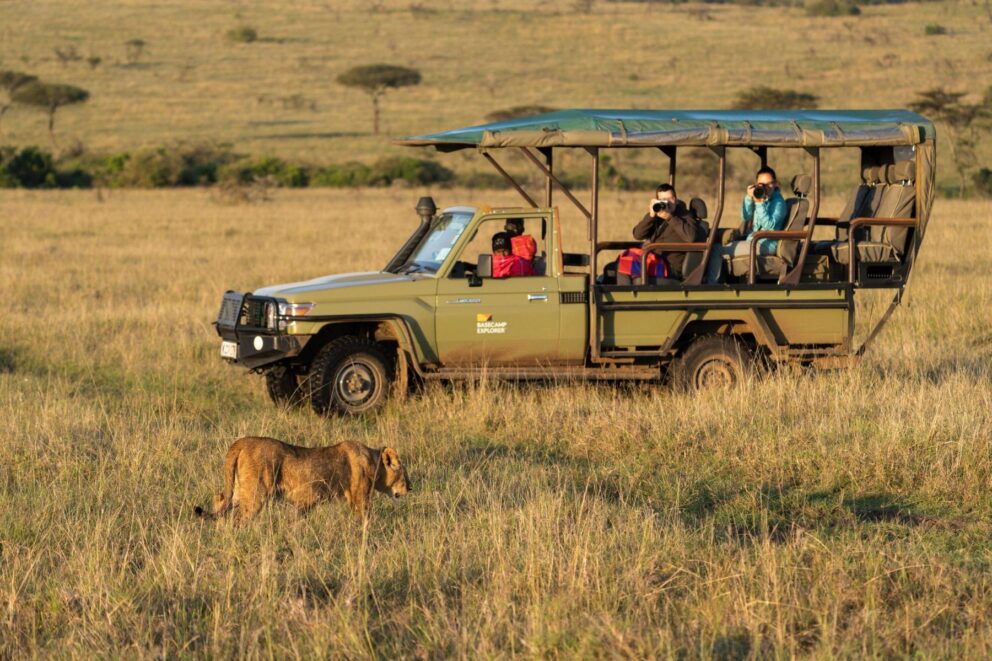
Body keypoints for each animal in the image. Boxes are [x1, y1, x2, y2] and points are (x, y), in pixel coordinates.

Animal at [194, 437, 411, 521]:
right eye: (404, 473)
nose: (410, 488)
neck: (373, 461)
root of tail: (239, 442)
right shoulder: (360, 498)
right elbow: (364, 519)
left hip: (240, 489)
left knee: (219, 500)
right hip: (256, 493)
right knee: (238, 518)